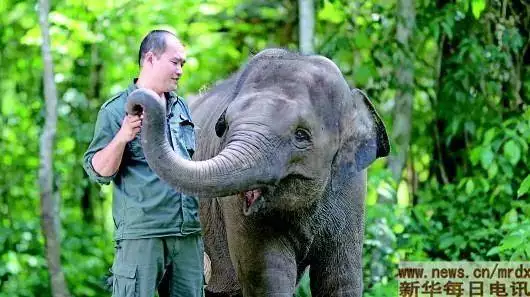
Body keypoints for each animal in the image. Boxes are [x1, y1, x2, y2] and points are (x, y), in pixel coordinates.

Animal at [124, 49, 388, 296]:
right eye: (223, 126)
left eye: (301, 135)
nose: (138, 105)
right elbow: (269, 279)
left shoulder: (353, 191)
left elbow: (341, 281)